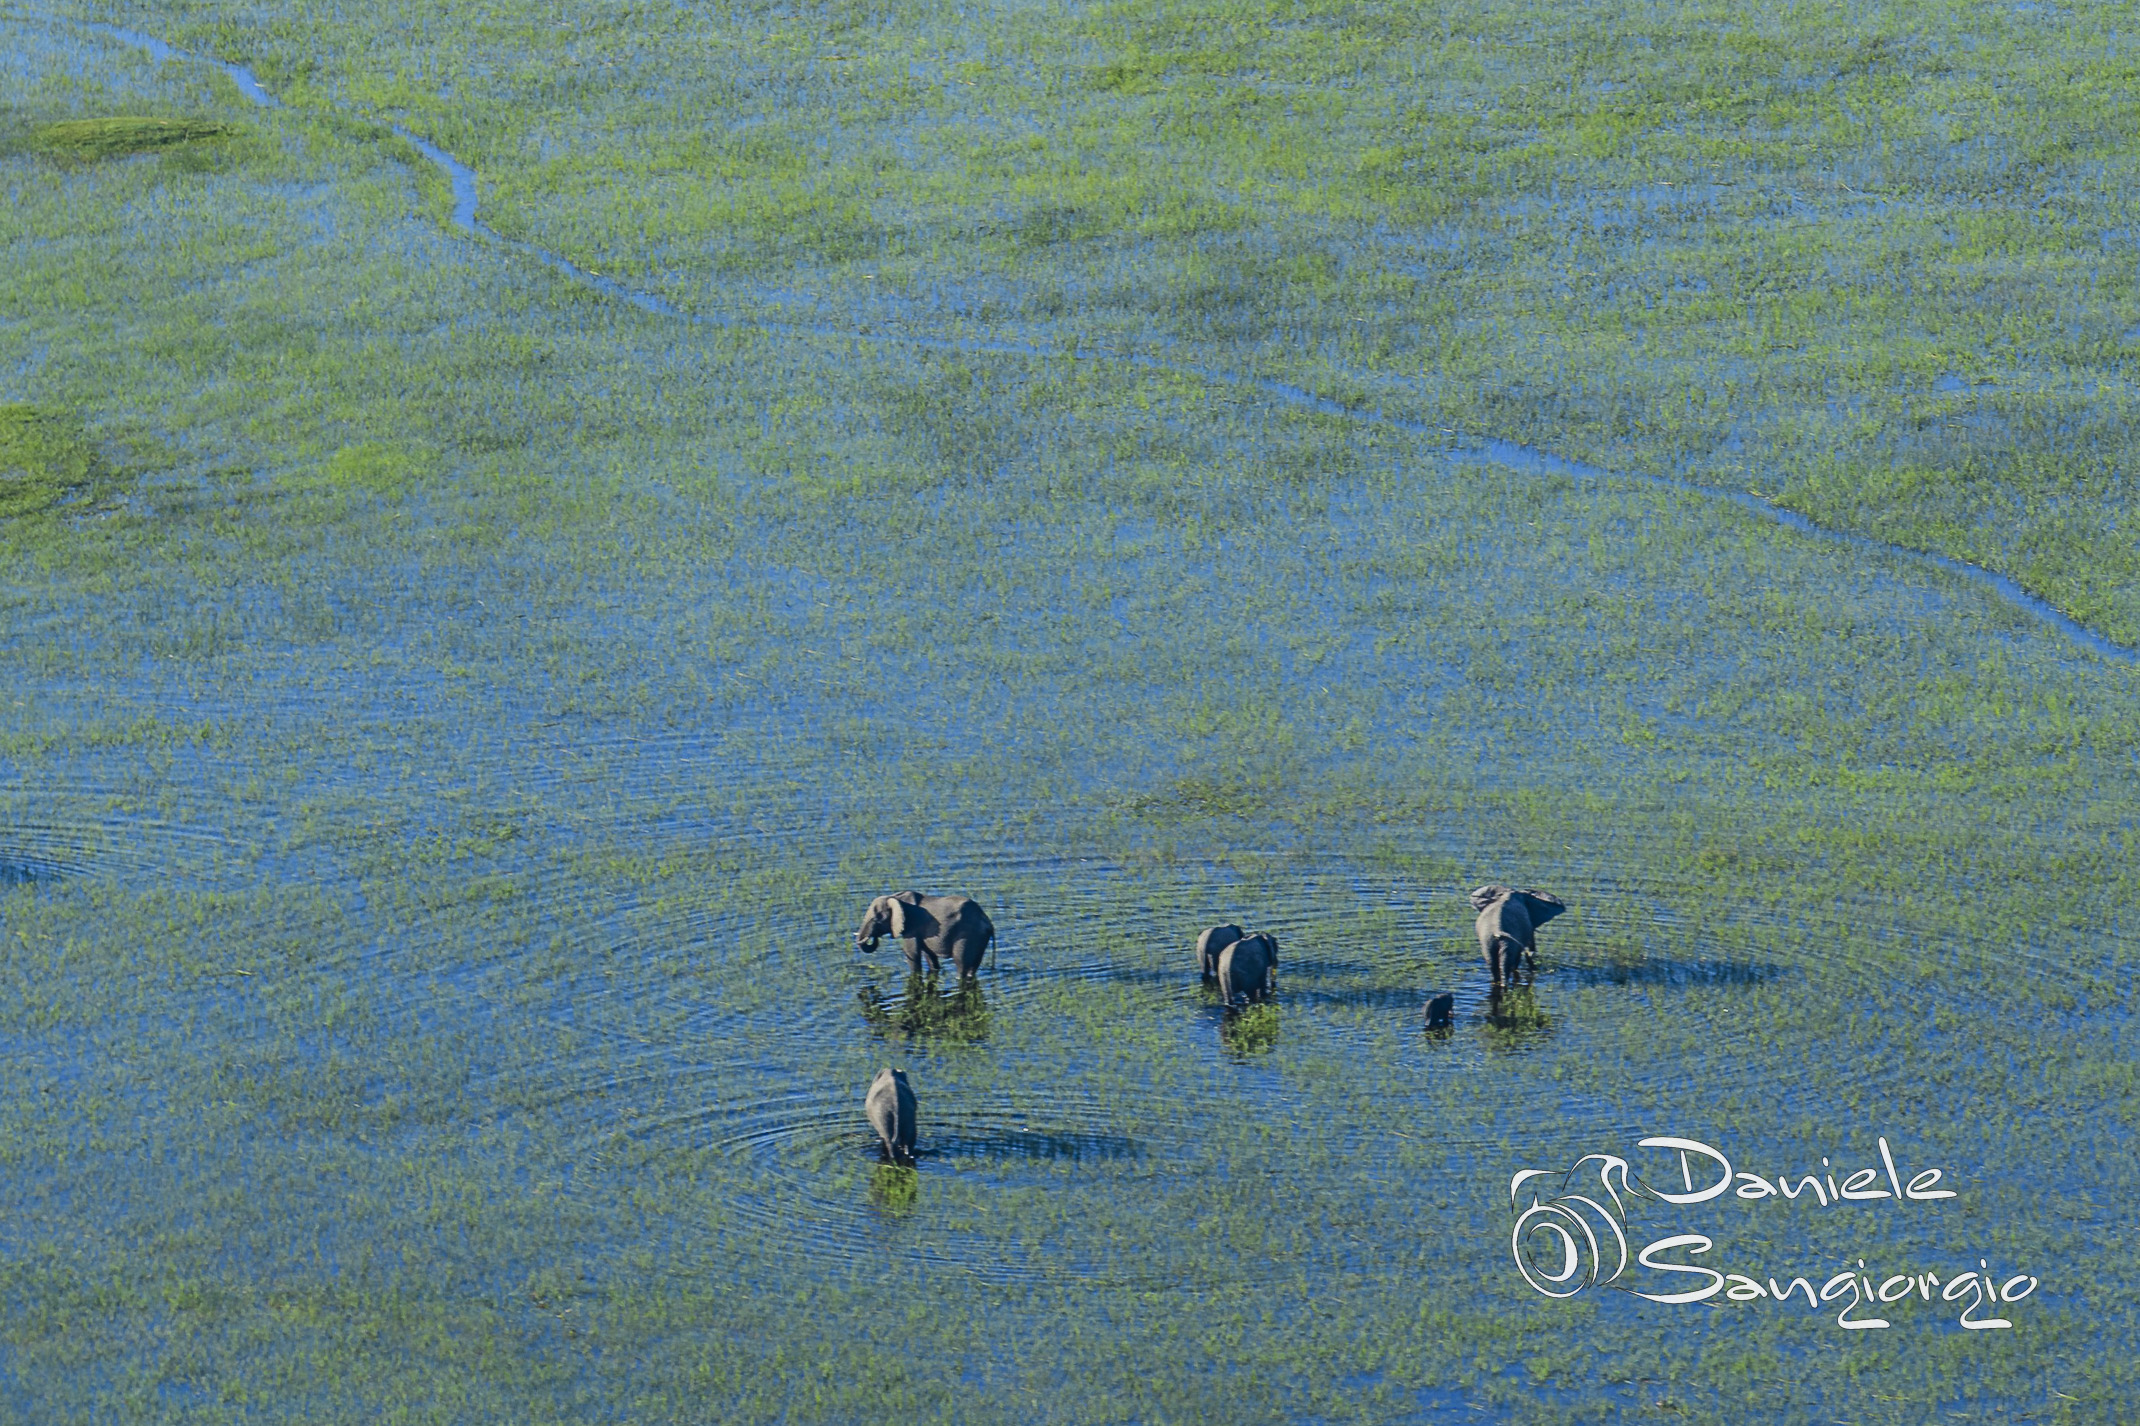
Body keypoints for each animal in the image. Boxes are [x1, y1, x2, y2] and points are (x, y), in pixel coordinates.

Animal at [856, 891, 995, 977]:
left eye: (876, 918)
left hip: (968, 934)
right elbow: (929, 955)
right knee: (974, 964)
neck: (895, 897)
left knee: (960, 961)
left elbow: (913, 954)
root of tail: (986, 920)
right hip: (979, 937)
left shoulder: (911, 927)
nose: (871, 936)